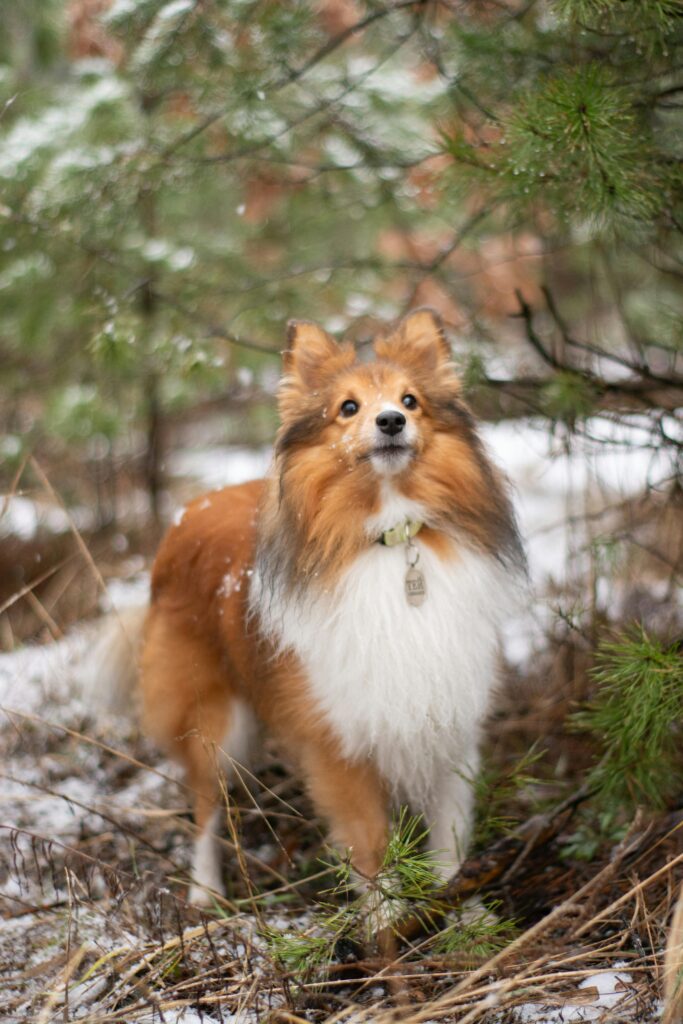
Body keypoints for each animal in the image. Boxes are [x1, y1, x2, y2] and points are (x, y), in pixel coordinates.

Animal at [98, 309, 528, 905]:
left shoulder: (448, 725)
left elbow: (450, 841)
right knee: (206, 807)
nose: (391, 421)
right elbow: (371, 847)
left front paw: (463, 910)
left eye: (411, 399)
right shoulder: (338, 740)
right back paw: (206, 893)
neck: (392, 538)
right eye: (348, 407)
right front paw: (387, 924)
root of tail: (189, 512)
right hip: (214, 722)